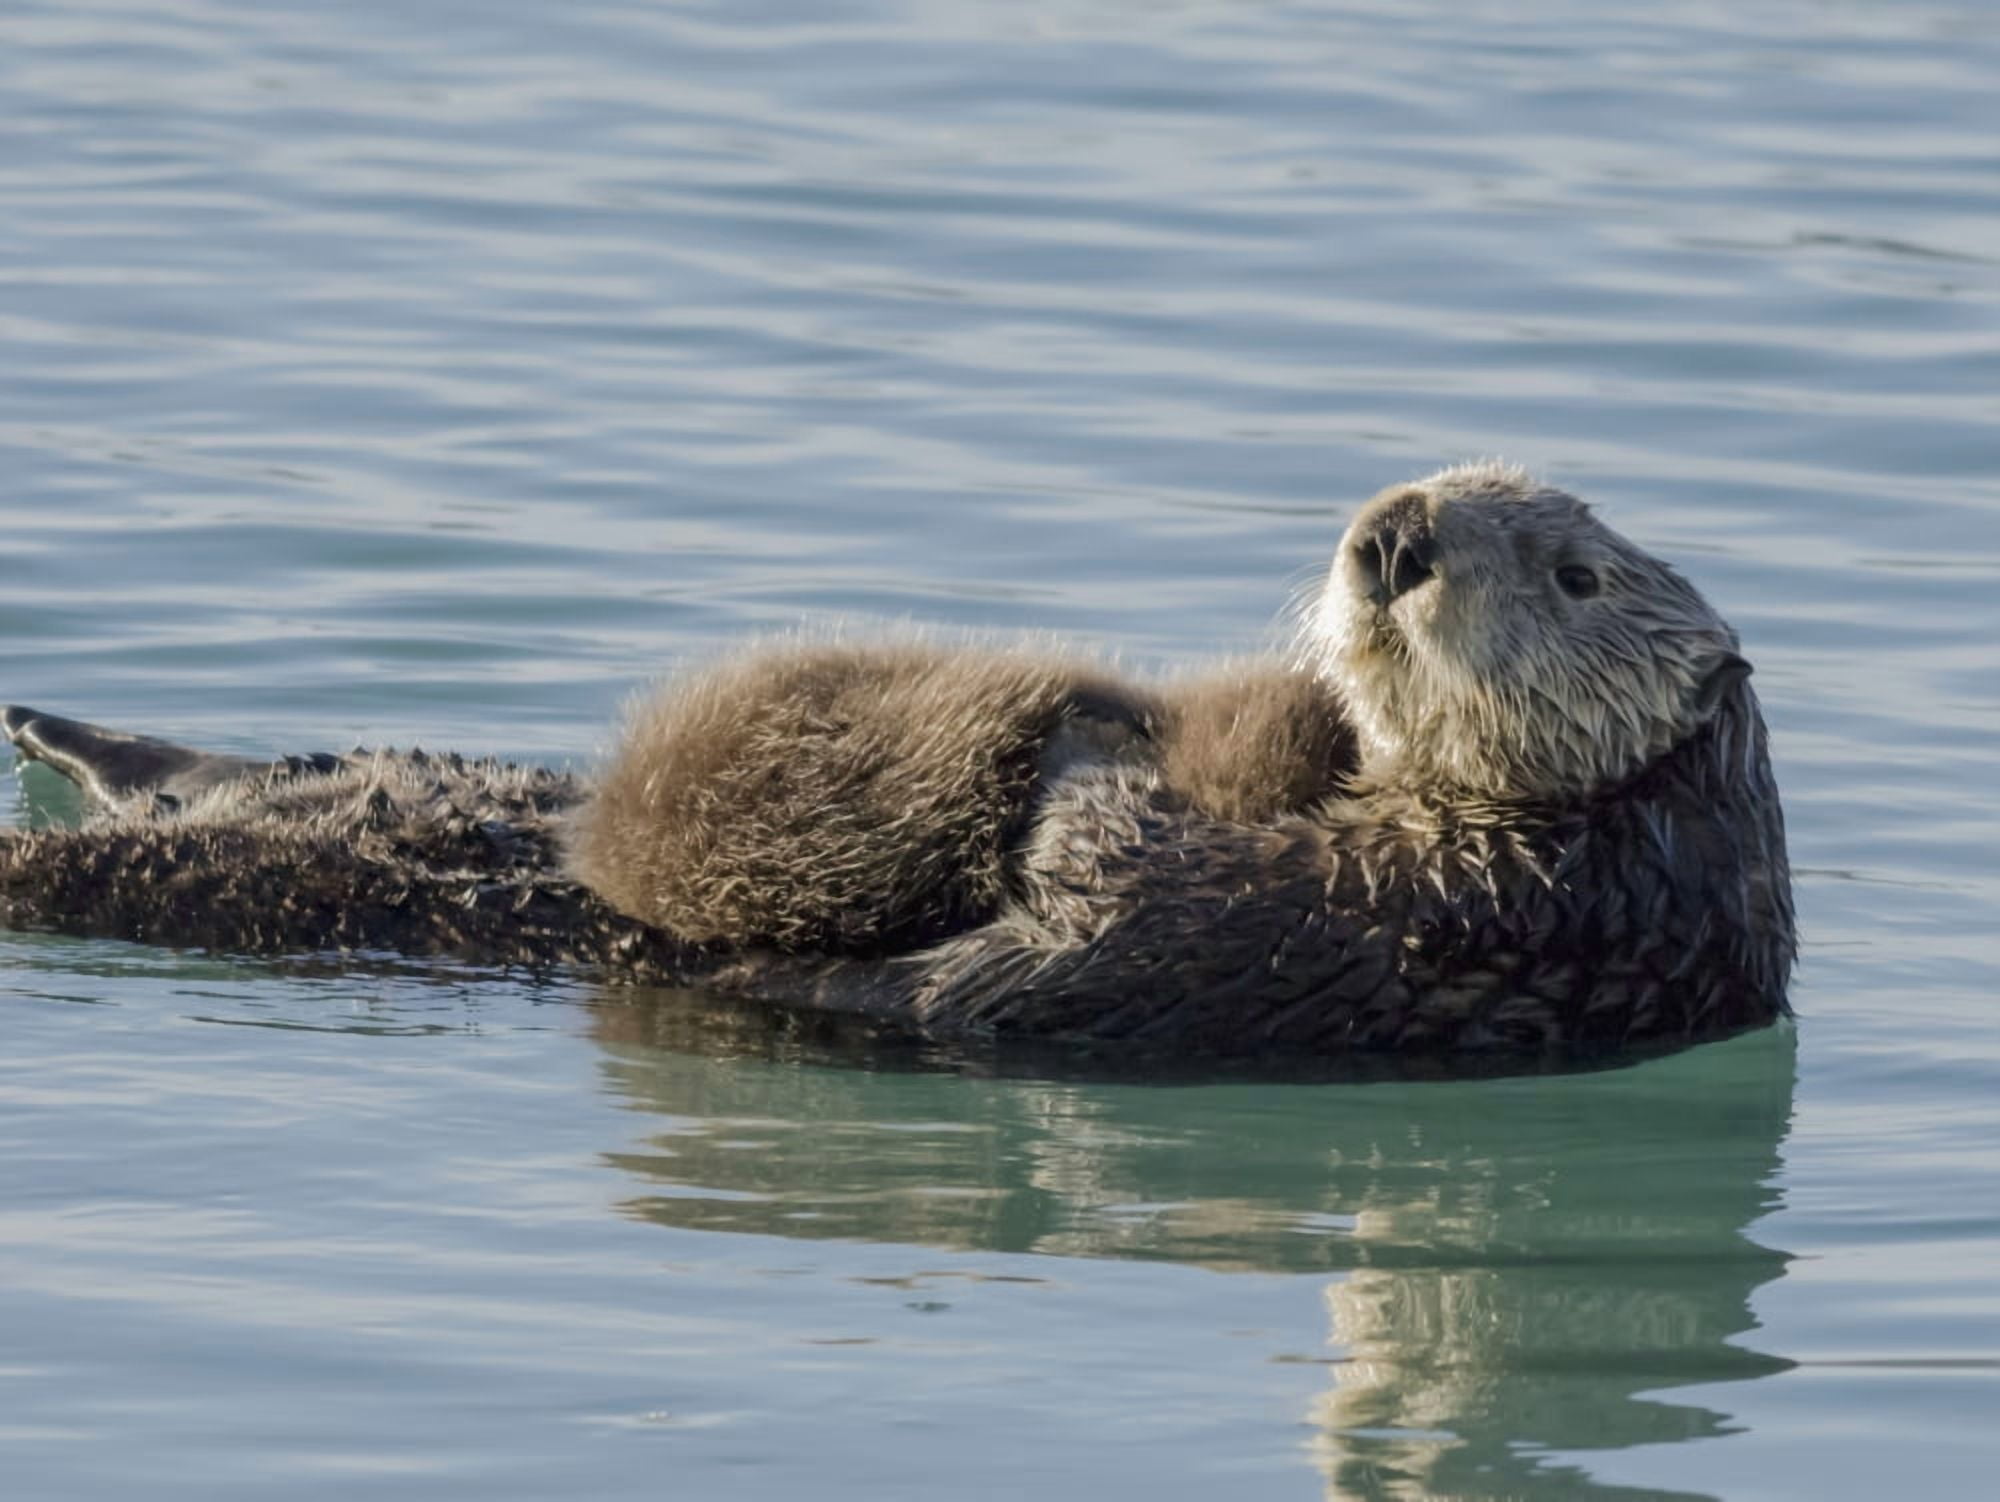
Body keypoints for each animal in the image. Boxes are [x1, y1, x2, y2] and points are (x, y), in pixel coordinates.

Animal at [0, 463, 1793, 1060]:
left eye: (1574, 572)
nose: (1396, 534)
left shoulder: (1409, 911)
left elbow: (1092, 883)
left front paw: (1093, 724)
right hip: (375, 780)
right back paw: (66, 729)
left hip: (222, 875)